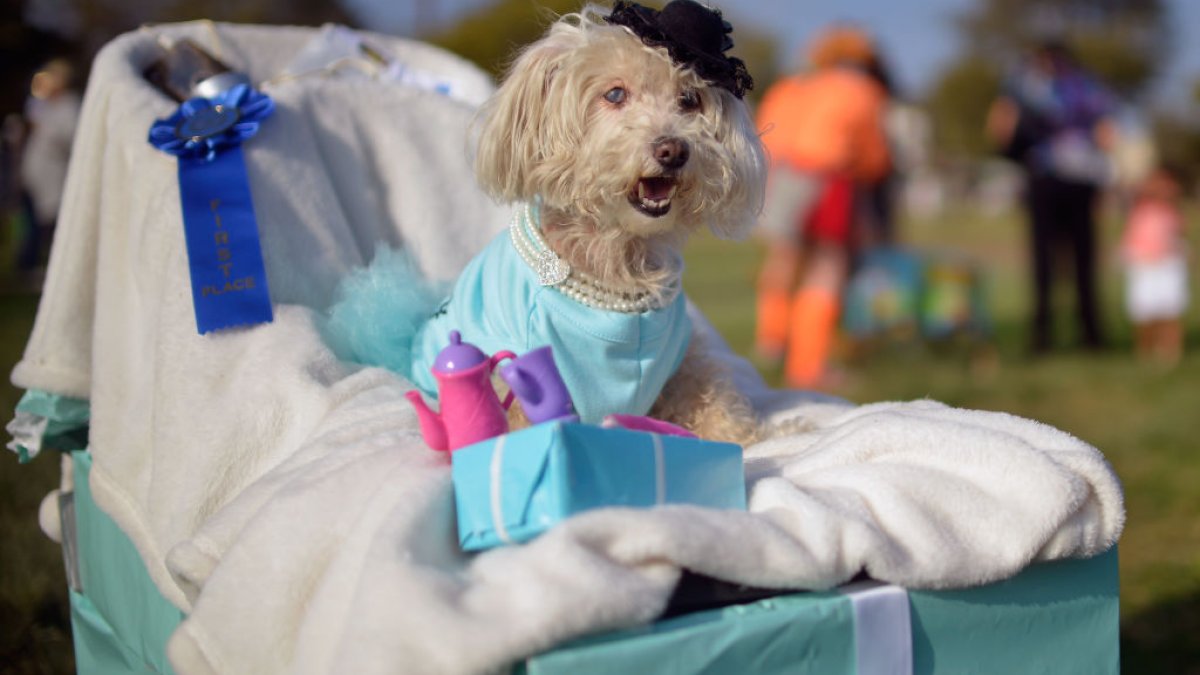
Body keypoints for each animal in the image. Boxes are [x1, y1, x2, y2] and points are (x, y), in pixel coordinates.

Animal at [472, 0, 763, 444]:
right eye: (614, 94)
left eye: (689, 99)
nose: (673, 150)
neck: (620, 259)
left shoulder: (683, 363)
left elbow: (721, 414)